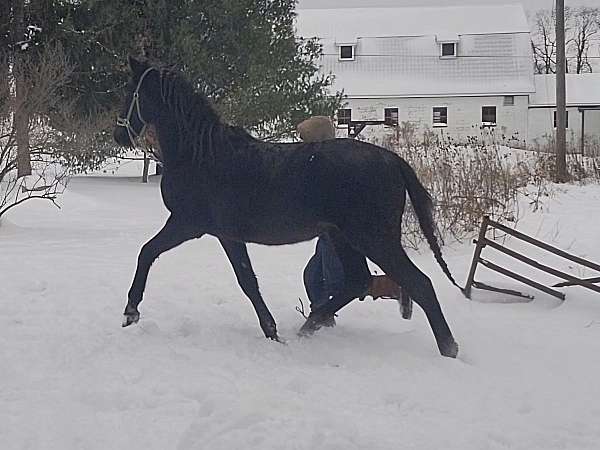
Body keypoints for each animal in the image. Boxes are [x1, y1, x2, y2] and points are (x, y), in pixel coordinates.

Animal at [113, 57, 460, 358]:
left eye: (130, 92)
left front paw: (131, 312)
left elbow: (147, 252)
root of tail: (393, 161)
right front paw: (272, 331)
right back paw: (309, 326)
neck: (199, 154)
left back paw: (449, 348)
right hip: (344, 238)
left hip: (374, 239)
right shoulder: (226, 234)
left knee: (419, 283)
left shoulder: (188, 224)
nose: (118, 134)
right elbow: (248, 280)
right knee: (357, 281)